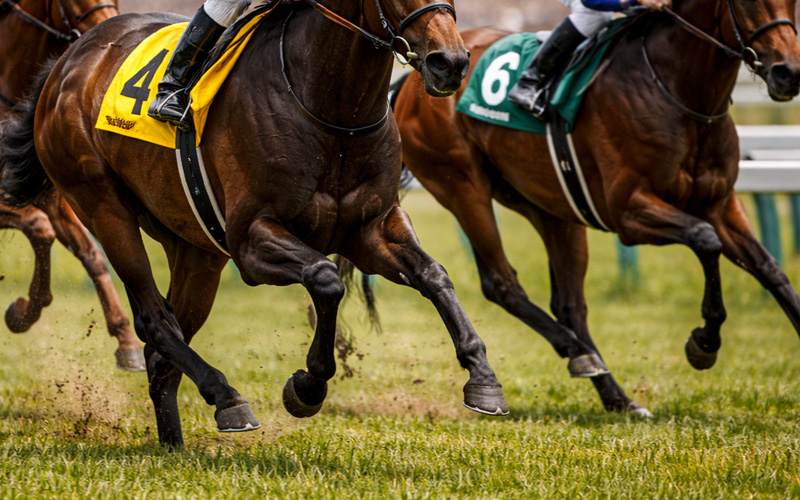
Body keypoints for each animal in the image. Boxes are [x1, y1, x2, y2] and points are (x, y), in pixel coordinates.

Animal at [0, 0, 145, 371]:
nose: (114, 36)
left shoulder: (53, 198)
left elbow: (90, 253)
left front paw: (127, 341)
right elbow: (41, 229)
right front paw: (24, 310)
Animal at [391, 0, 800, 416]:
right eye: (747, 3)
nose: (789, 72)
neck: (679, 92)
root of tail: (411, 81)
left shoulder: (721, 203)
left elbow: (770, 269)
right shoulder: (629, 213)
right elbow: (705, 239)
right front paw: (703, 342)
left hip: (550, 205)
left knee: (570, 304)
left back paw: (614, 392)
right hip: (463, 187)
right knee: (502, 283)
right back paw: (577, 354)